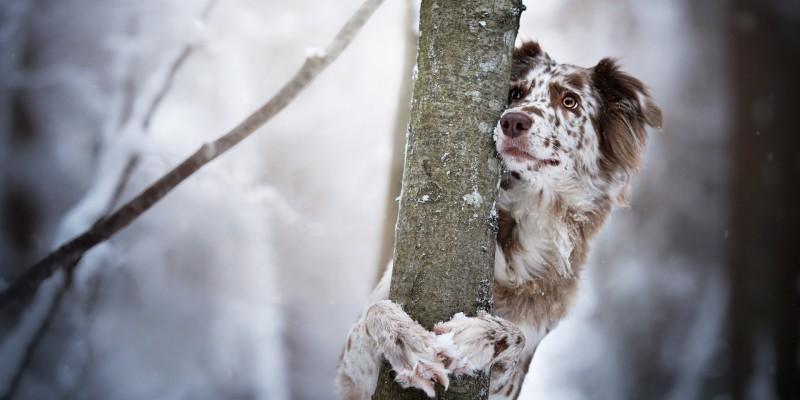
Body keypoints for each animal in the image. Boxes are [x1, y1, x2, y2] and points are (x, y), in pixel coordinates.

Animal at [334, 41, 660, 400]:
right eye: (516, 92)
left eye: (569, 101)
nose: (513, 121)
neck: (533, 208)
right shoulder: (351, 377)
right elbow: (372, 314)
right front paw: (406, 340)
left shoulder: (515, 372)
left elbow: (518, 336)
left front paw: (475, 338)